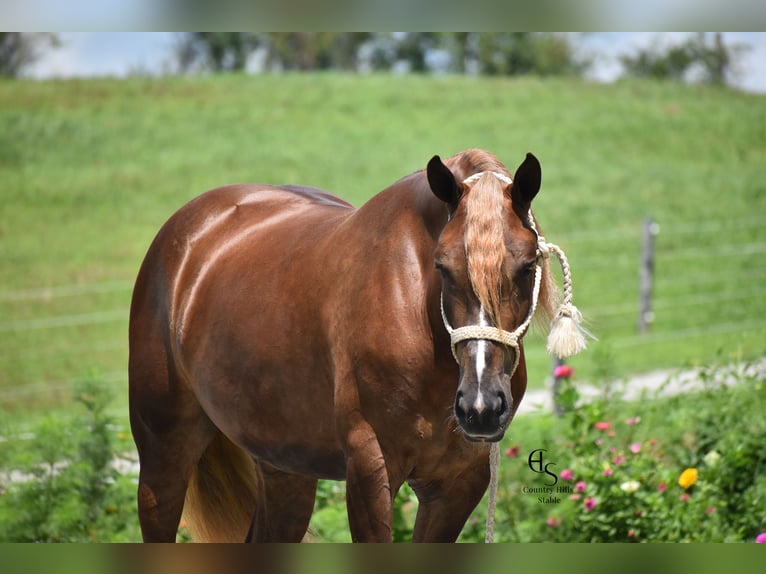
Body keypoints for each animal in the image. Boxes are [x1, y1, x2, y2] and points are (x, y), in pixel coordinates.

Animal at [128, 148, 586, 542]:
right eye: (442, 266)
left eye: (527, 266)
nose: (480, 407)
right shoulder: (370, 470)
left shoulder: (459, 483)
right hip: (162, 455)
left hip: (285, 470)